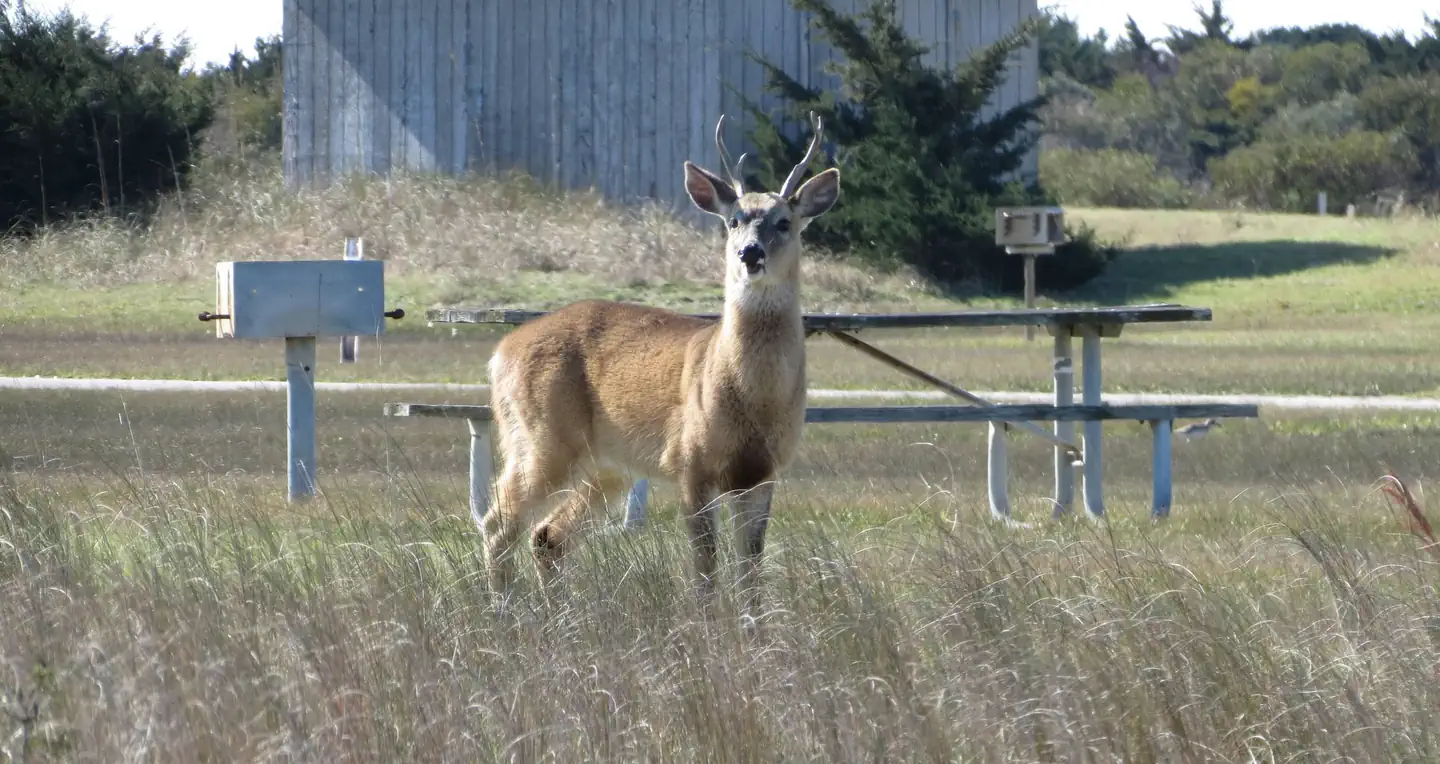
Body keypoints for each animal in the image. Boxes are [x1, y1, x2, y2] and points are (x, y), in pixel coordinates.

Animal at [480, 112, 840, 621]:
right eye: (733, 220)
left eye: (784, 222)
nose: (750, 253)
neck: (751, 397)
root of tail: (500, 352)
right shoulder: (691, 462)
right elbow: (706, 572)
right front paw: (710, 628)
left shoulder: (762, 474)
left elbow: (751, 575)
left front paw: (753, 631)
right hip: (541, 437)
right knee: (497, 523)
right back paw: (504, 618)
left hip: (607, 466)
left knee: (547, 536)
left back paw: (560, 621)